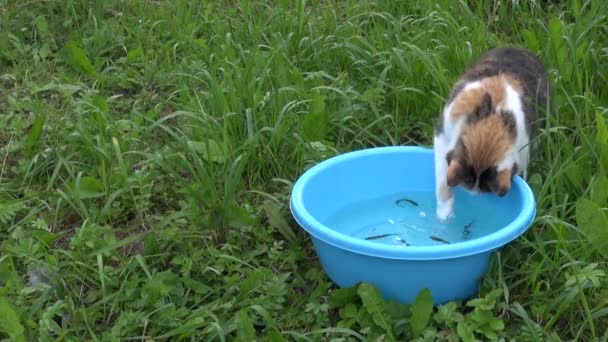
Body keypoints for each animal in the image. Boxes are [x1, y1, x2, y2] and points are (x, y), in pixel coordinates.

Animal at [432, 46, 552, 220]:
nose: (474, 195)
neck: (491, 118)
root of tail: (518, 48)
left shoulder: (524, 152)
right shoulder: (442, 136)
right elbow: (442, 181)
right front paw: (444, 215)